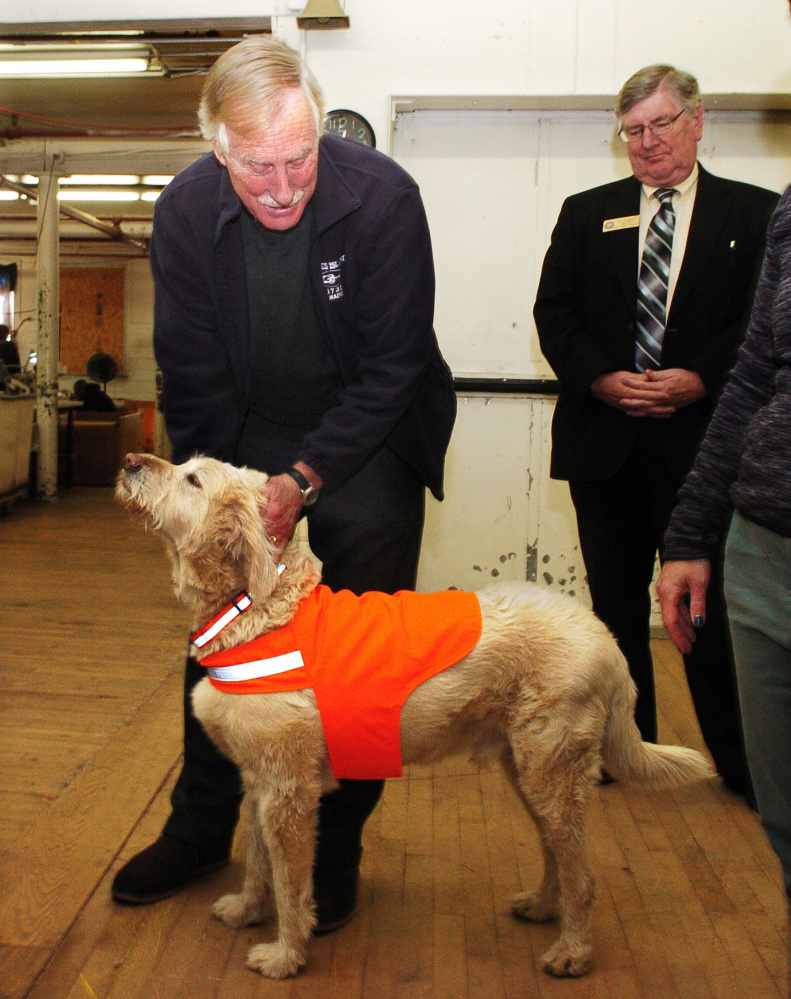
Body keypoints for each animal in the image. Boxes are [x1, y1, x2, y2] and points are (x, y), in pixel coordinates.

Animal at [117, 456, 716, 984]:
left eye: (193, 478)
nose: (129, 461)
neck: (259, 609)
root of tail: (607, 642)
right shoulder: (259, 780)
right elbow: (259, 862)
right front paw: (246, 909)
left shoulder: (289, 791)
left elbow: (290, 883)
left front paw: (286, 955)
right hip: (531, 773)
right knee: (555, 852)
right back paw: (543, 907)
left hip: (553, 773)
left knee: (583, 875)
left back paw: (572, 952)